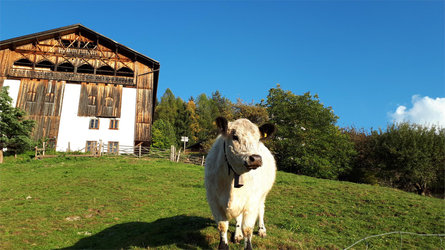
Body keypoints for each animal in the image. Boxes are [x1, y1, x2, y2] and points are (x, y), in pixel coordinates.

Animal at [204, 117, 274, 250]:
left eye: (258, 138)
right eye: (235, 136)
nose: (256, 159)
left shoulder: (251, 203)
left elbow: (247, 229)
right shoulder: (214, 202)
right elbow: (222, 226)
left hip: (262, 195)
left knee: (261, 210)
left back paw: (261, 230)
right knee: (238, 218)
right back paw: (237, 235)